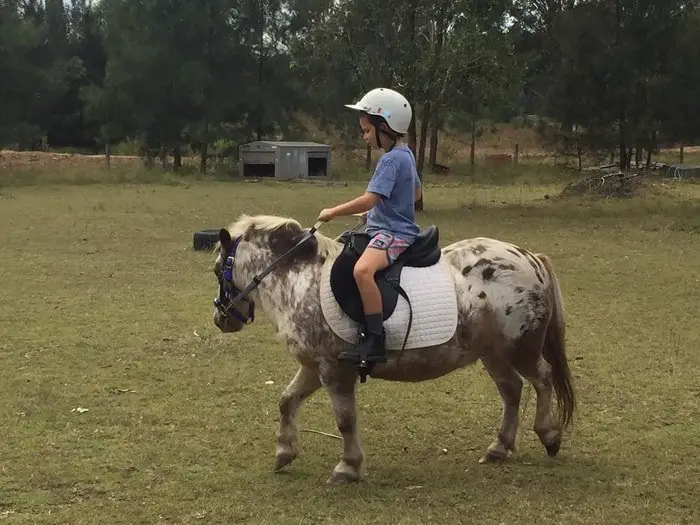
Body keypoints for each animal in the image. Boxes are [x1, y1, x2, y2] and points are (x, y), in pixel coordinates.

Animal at [211, 213, 576, 484]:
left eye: (217, 270)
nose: (221, 318)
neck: (300, 279)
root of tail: (530, 258)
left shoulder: (334, 370)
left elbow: (345, 420)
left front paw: (348, 467)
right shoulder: (314, 366)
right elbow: (287, 400)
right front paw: (284, 453)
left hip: (520, 347)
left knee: (542, 379)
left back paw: (549, 436)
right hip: (492, 352)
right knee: (512, 389)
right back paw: (499, 448)